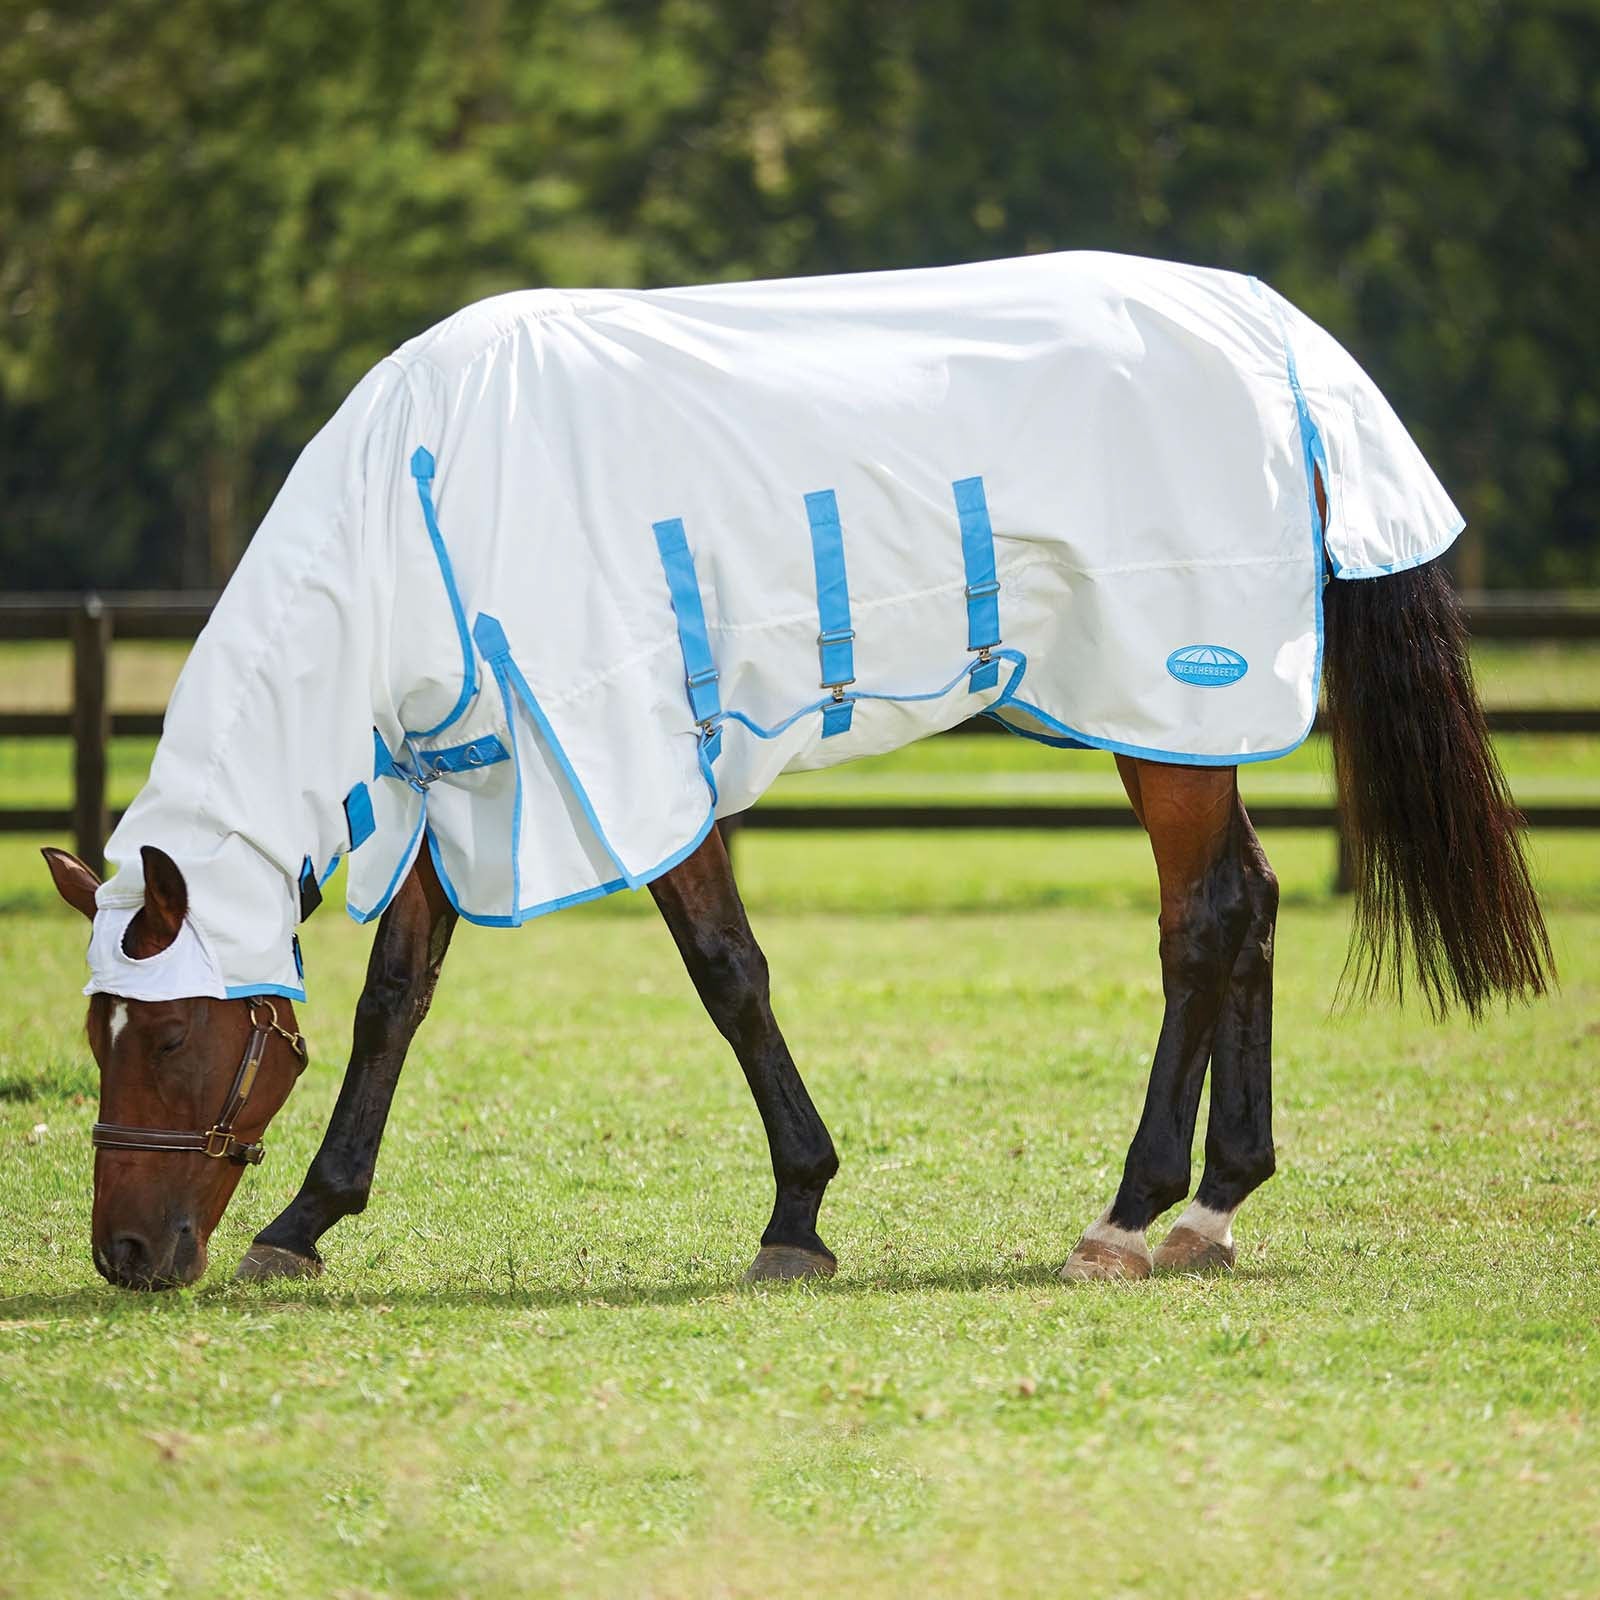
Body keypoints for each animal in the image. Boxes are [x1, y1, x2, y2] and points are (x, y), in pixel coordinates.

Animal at [42, 252, 1551, 1291]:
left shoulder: (625, 764)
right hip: (1174, 721)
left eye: (167, 1035)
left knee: (1208, 917)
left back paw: (1129, 1216)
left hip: (1159, 699)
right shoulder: (466, 773)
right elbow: (394, 1002)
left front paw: (797, 1215)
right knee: (1250, 904)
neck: (424, 505)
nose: (126, 1255)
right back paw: (1214, 1205)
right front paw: (304, 1223)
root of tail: (1271, 332)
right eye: (98, 1033)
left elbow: (727, 974)